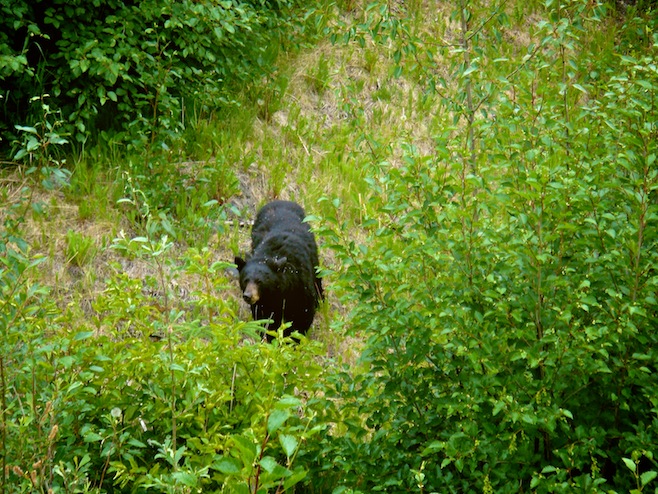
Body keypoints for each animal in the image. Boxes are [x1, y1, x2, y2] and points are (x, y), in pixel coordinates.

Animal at [234, 200, 323, 342]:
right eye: (245, 280)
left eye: (259, 281)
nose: (248, 296)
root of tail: (282, 201)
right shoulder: (263, 303)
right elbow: (264, 319)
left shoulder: (300, 285)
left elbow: (303, 313)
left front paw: (294, 339)